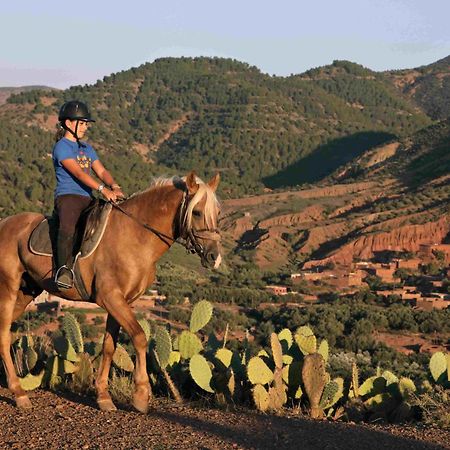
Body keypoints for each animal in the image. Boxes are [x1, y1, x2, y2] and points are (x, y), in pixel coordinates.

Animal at [0, 171, 221, 412]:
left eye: (218, 213)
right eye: (197, 212)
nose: (214, 257)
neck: (135, 236)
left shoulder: (121, 301)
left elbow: (109, 346)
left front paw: (103, 396)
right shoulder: (111, 298)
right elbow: (139, 337)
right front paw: (141, 395)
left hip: (25, 293)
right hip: (8, 289)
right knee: (3, 334)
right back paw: (20, 394)